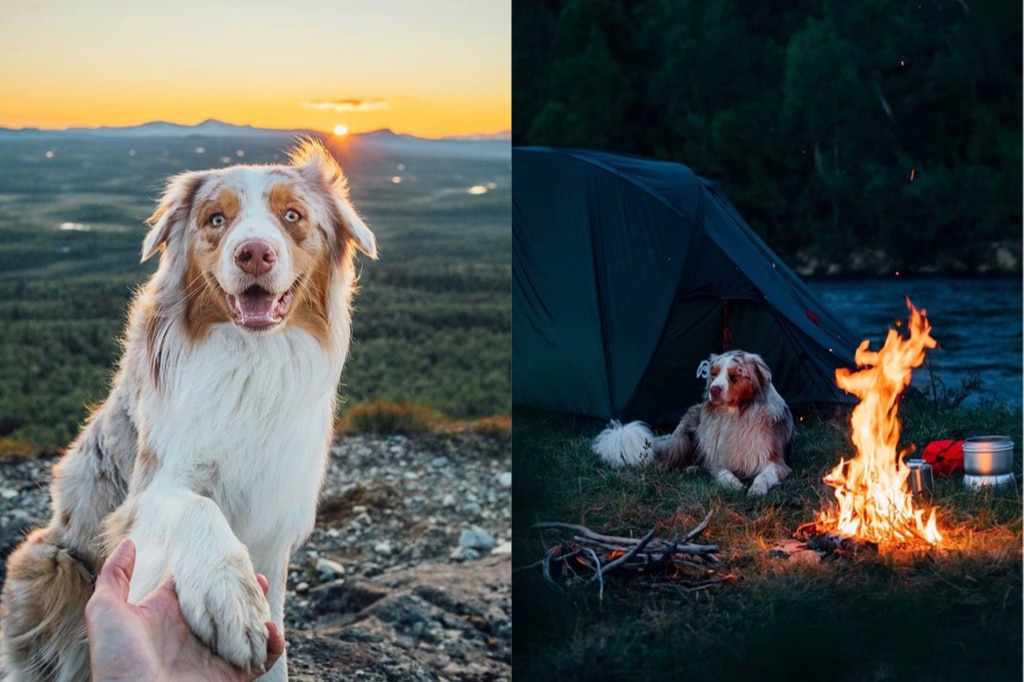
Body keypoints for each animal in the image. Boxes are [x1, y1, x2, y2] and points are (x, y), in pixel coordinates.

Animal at [0, 139, 376, 679]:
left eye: (292, 215)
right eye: (216, 219)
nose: (254, 253)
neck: (251, 360)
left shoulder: (274, 526)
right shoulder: (149, 489)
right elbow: (197, 507)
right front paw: (230, 598)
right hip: (51, 562)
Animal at [593, 350, 790, 493]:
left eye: (734, 376)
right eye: (714, 374)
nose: (713, 390)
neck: (735, 417)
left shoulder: (775, 461)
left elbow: (763, 476)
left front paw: (756, 489)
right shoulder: (717, 458)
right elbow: (723, 472)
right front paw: (734, 483)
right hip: (684, 437)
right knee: (664, 463)